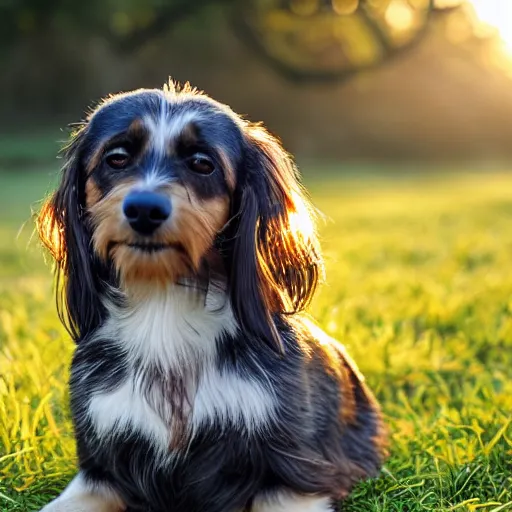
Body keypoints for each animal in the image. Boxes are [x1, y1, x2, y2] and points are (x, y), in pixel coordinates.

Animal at [38, 81, 386, 512]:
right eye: (116, 158)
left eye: (203, 164)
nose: (145, 209)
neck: (164, 308)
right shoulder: (101, 467)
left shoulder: (292, 469)